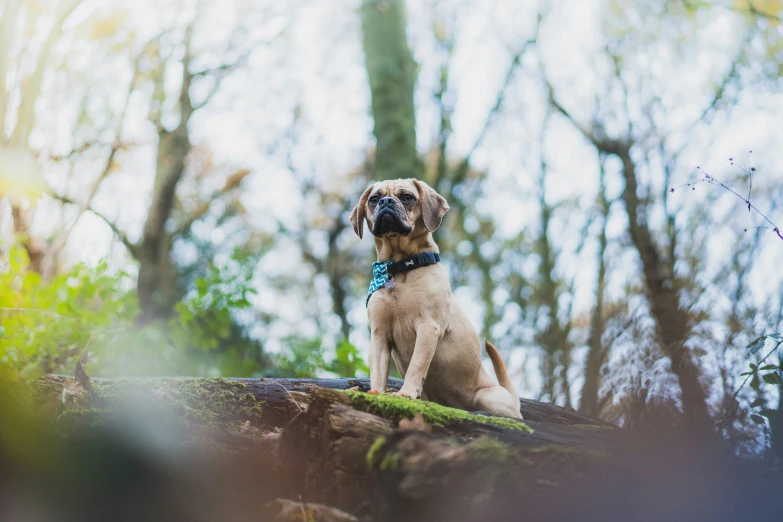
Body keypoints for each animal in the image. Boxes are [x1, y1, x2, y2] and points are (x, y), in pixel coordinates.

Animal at [352, 177, 524, 416]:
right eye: (374, 199)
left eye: (407, 197)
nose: (386, 202)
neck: (400, 268)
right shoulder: (379, 335)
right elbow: (378, 373)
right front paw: (376, 393)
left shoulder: (428, 326)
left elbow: (416, 365)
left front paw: (406, 393)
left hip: (487, 397)